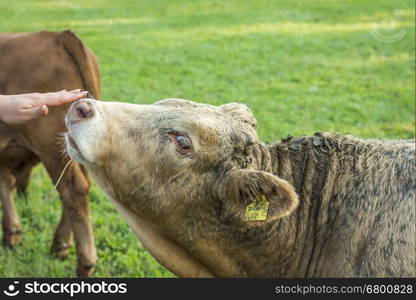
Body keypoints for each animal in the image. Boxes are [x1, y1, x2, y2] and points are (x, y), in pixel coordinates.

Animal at [0, 31, 100, 276]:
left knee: (73, 190)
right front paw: (12, 231)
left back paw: (84, 262)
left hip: (53, 150)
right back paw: (61, 245)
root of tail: (59, 36)